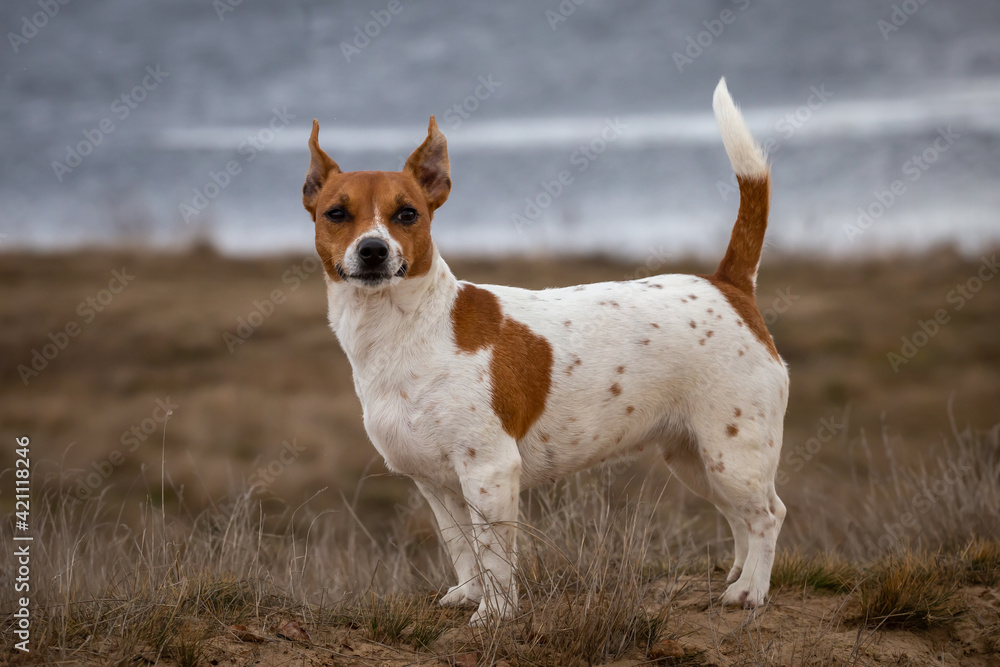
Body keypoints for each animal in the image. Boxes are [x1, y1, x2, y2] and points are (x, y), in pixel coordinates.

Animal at [300, 79, 784, 628]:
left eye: (408, 215)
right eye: (336, 214)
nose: (374, 251)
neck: (409, 329)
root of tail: (728, 284)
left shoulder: (489, 472)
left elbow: (493, 553)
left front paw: (493, 614)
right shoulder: (437, 486)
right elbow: (462, 548)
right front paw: (468, 595)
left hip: (733, 456)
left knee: (769, 516)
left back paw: (751, 591)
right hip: (696, 461)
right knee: (741, 518)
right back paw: (738, 576)